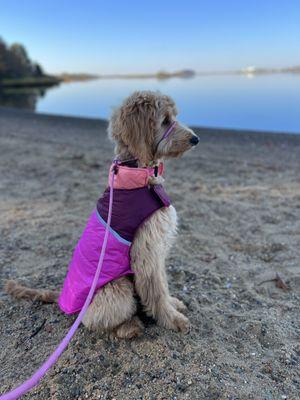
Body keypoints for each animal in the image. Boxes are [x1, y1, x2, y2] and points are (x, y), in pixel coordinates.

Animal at [5, 90, 199, 338]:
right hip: (117, 289)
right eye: (164, 120)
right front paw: (172, 319)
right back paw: (130, 326)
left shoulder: (157, 249)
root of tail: (61, 298)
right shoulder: (146, 252)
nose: (196, 139)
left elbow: (163, 284)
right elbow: (155, 290)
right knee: (96, 321)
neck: (136, 171)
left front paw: (173, 303)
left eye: (174, 117)